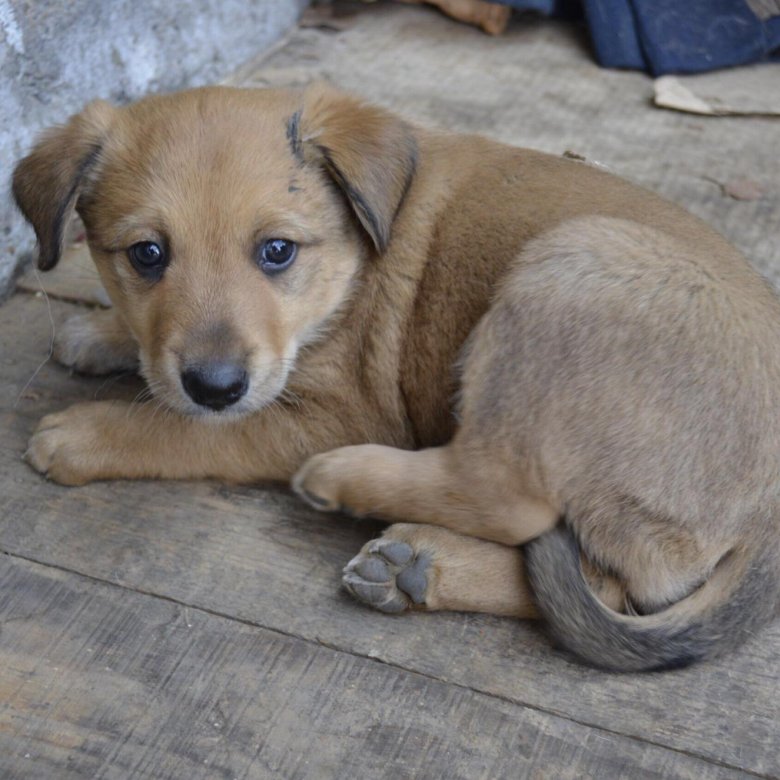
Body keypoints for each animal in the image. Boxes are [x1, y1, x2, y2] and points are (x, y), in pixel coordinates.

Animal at [13, 84, 780, 672]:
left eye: (276, 251)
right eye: (146, 255)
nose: (216, 385)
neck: (351, 267)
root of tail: (767, 512)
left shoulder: (330, 415)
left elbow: (190, 432)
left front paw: (86, 434)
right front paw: (100, 333)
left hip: (568, 265)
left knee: (513, 499)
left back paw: (354, 486)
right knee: (603, 585)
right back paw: (417, 566)